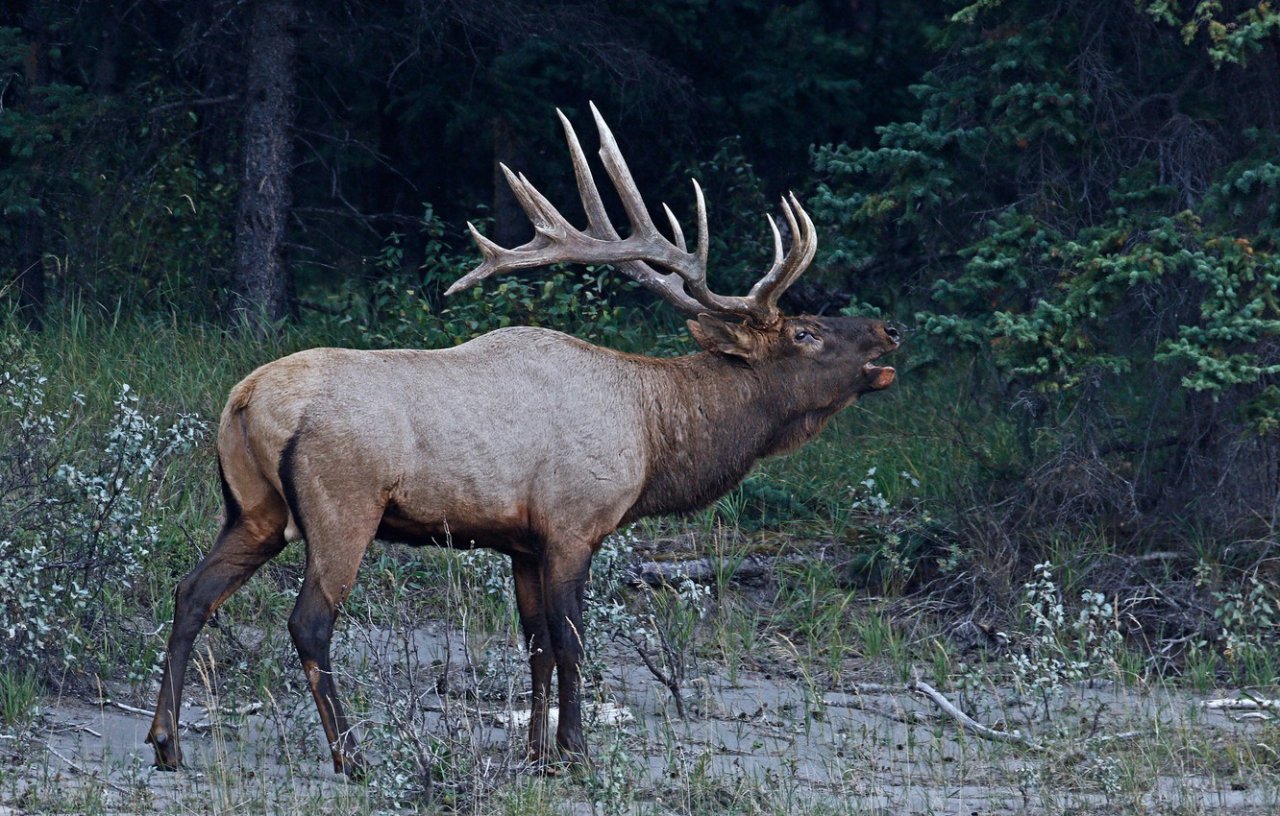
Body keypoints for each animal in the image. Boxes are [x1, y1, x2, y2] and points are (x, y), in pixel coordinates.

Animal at [147, 105, 901, 777]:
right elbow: (571, 642)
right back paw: (352, 758)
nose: (889, 330)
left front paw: (537, 751)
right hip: (343, 505)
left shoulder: (521, 540)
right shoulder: (573, 524)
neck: (654, 435)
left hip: (254, 509)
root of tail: (245, 399)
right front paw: (576, 751)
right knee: (308, 621)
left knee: (191, 592)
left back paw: (167, 742)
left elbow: (534, 643)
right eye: (805, 331)